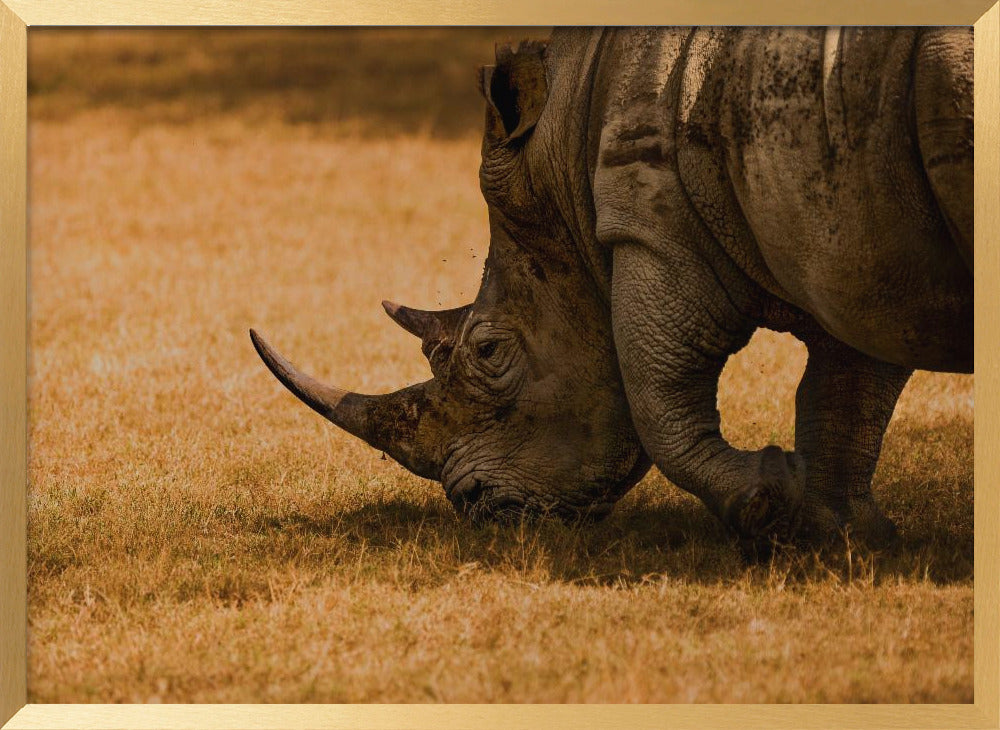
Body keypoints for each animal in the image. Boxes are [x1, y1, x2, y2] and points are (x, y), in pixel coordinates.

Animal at [251, 27, 973, 548]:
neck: (564, 146)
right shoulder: (851, 239)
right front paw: (839, 534)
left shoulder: (652, 223)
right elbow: (847, 387)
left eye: (488, 352)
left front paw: (770, 506)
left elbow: (656, 390)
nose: (477, 508)